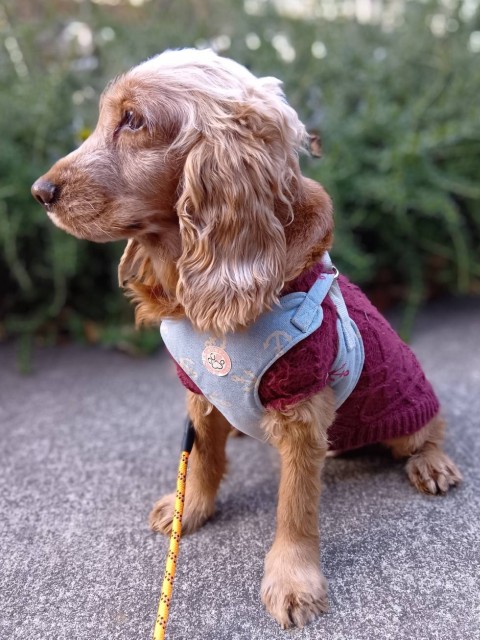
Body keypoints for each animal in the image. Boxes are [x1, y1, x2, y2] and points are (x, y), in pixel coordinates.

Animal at [32, 48, 461, 629]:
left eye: (134, 120)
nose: (41, 192)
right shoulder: (197, 388)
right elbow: (202, 458)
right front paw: (189, 508)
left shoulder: (301, 407)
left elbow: (295, 508)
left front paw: (294, 582)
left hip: (409, 406)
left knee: (428, 431)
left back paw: (432, 463)